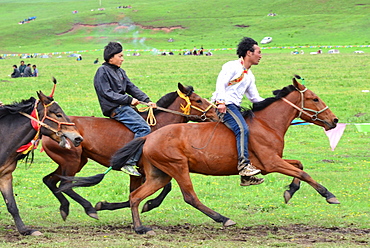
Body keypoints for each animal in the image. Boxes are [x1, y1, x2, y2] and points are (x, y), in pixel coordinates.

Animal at [42, 83, 218, 221]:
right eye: (198, 100)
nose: (216, 114)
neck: (158, 127)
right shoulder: (148, 169)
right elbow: (163, 187)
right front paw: (148, 204)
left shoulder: (141, 173)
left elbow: (136, 193)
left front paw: (106, 205)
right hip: (72, 161)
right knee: (64, 185)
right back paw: (89, 208)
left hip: (74, 162)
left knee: (50, 181)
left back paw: (64, 208)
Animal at [108, 76, 340, 234]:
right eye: (314, 99)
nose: (335, 120)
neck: (267, 124)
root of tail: (149, 137)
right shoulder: (271, 162)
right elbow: (305, 173)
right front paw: (329, 195)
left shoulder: (272, 162)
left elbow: (299, 165)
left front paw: (289, 191)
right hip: (178, 167)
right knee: (190, 197)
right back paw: (223, 218)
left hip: (160, 174)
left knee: (135, 196)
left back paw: (140, 227)